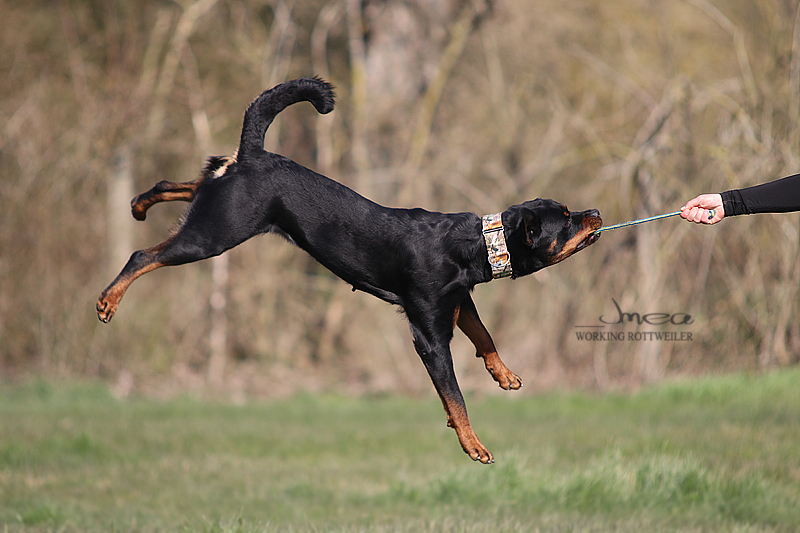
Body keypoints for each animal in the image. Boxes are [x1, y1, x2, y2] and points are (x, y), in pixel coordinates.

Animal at [97, 78, 602, 463]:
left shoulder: (460, 304)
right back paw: (108, 301)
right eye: (567, 218)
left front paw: (504, 374)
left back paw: (139, 204)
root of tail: (255, 153)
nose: (596, 211)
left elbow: (486, 337)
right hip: (215, 235)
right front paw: (473, 445)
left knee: (186, 179)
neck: (477, 243)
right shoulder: (430, 336)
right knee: (142, 255)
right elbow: (455, 397)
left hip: (218, 206)